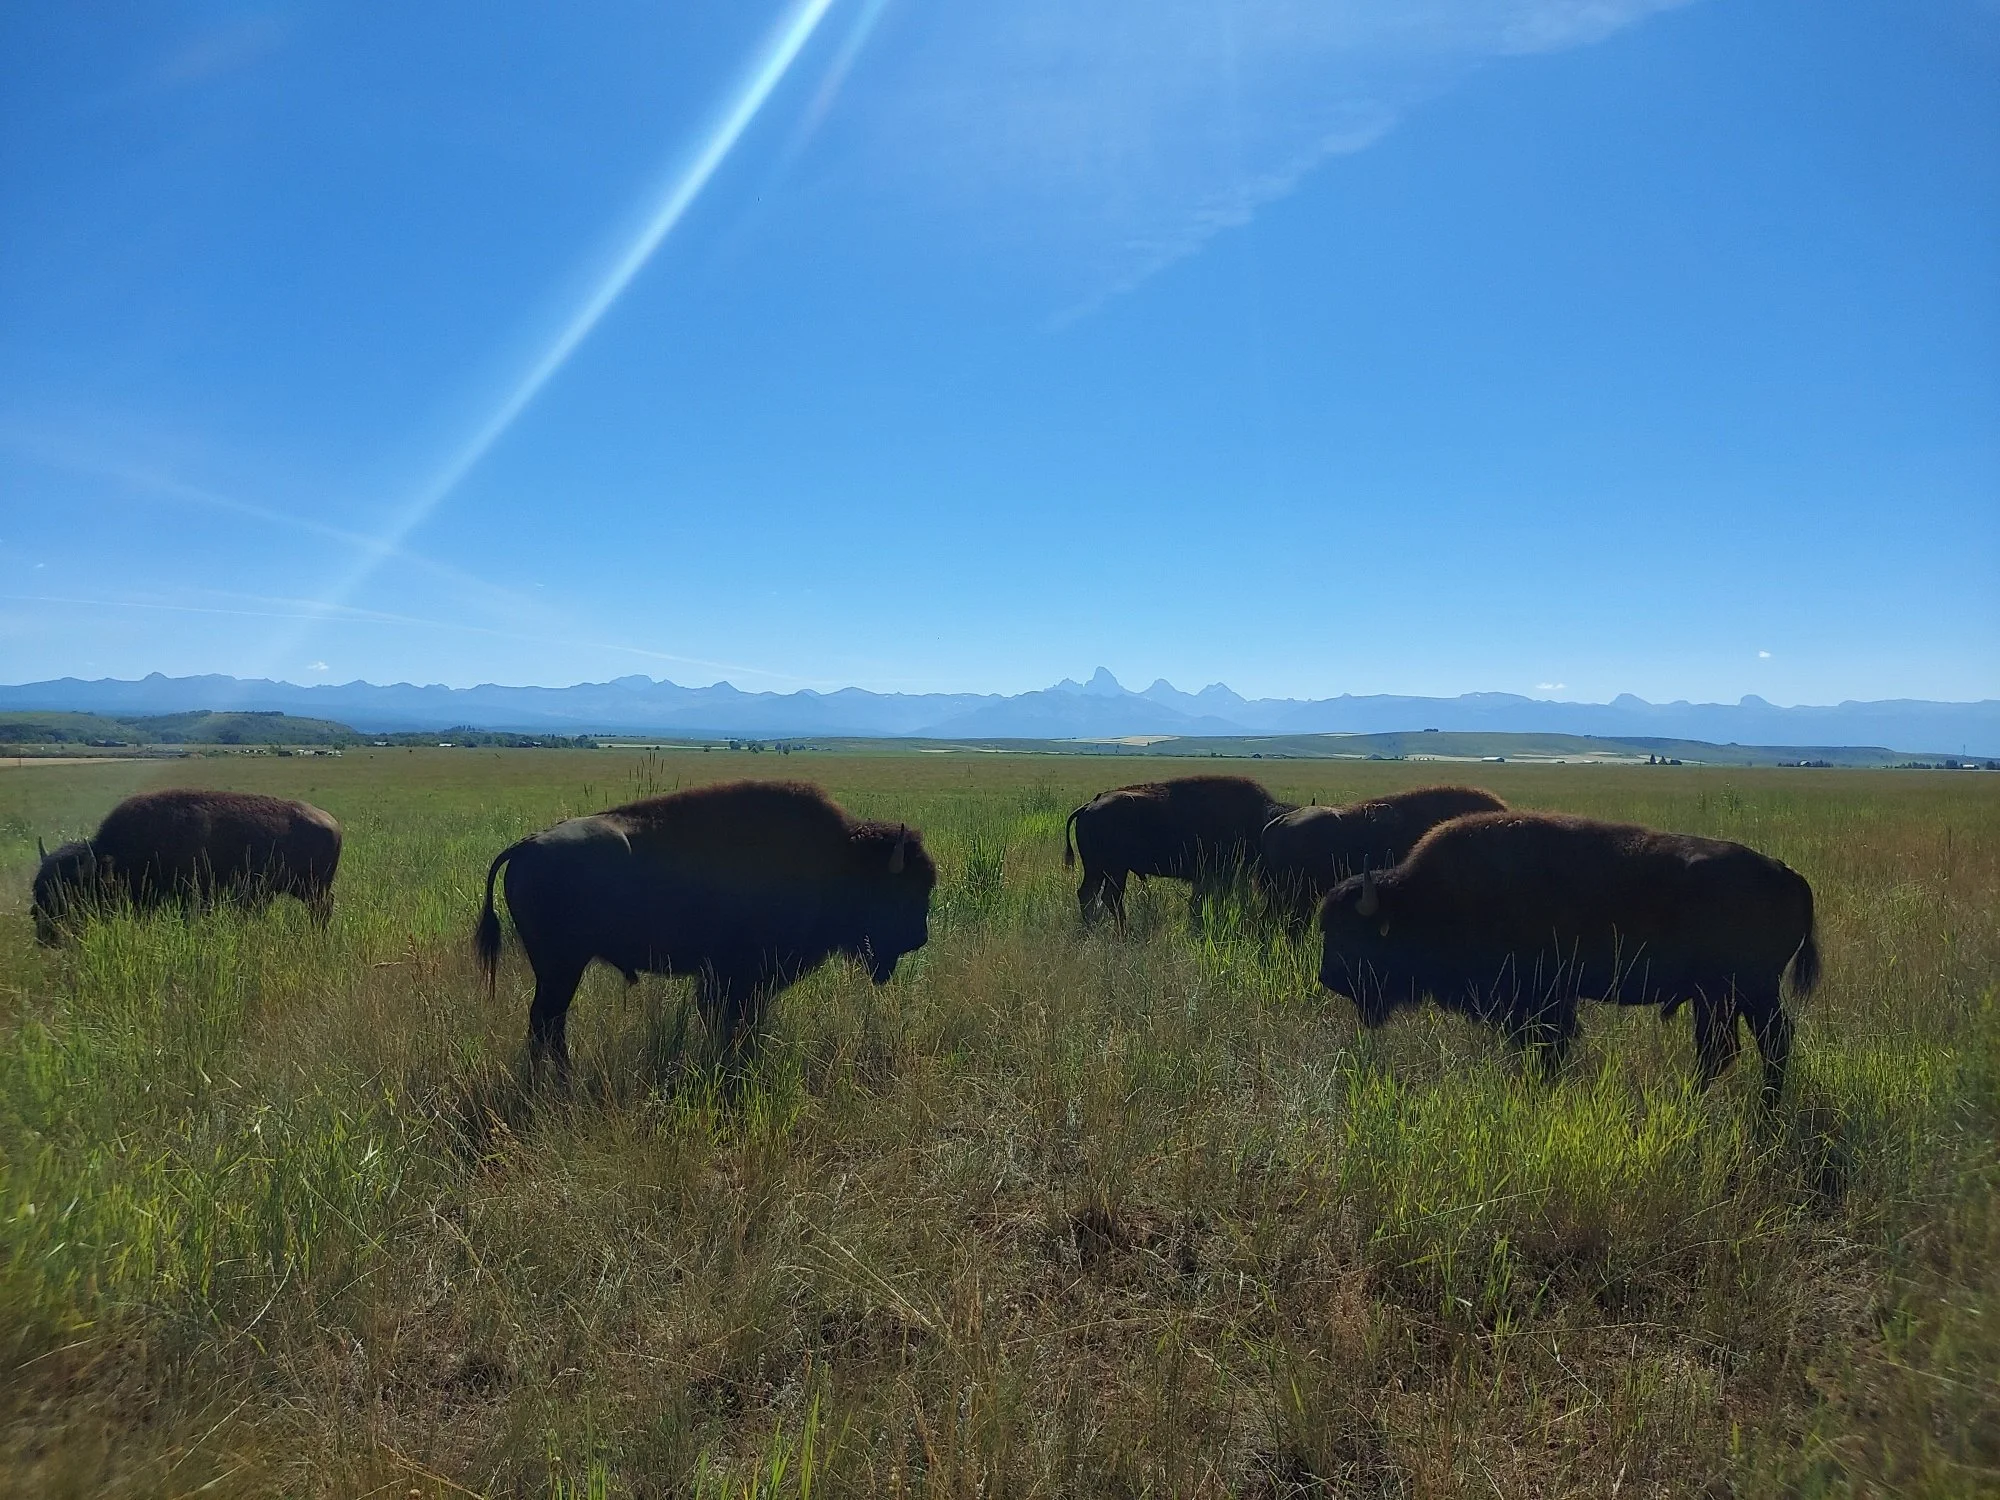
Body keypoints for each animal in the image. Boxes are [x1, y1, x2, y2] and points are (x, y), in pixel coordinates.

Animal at [474, 779, 937, 1069]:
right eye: (900, 892)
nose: (918, 938)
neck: (837, 861)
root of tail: (525, 847)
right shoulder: (736, 977)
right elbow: (731, 1022)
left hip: (560, 967)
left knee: (548, 1023)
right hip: (561, 966)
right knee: (547, 1022)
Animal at [1062, 774, 1292, 927]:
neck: (1259, 819)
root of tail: (1089, 806)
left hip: (1099, 869)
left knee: (1088, 894)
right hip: (1114, 869)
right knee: (1109, 896)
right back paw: (1122, 930)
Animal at [1318, 810, 1819, 1102]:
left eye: (1353, 934)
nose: (1328, 978)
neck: (1427, 898)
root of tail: (1788, 874)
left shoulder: (1543, 1001)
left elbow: (1550, 1047)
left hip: (1739, 992)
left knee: (1755, 1045)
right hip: (1726, 996)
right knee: (1739, 1047)